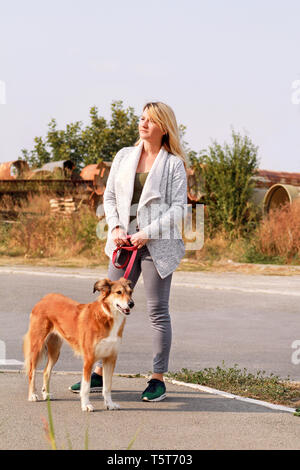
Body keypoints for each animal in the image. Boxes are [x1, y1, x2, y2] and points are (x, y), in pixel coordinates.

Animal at [24, 278, 134, 414]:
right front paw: (86, 405)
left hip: (55, 351)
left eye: (130, 292)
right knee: (32, 371)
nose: (131, 304)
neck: (108, 316)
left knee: (46, 372)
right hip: (37, 346)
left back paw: (46, 393)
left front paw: (109, 404)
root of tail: (44, 298)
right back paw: (32, 395)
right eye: (119, 292)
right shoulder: (89, 360)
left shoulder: (110, 359)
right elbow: (86, 387)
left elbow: (107, 386)